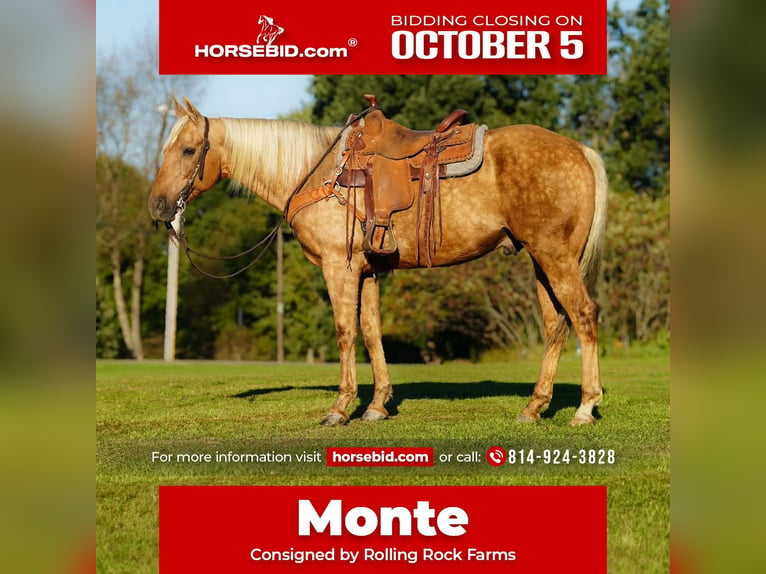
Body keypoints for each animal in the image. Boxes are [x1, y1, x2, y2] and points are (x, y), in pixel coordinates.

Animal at [148, 97, 608, 427]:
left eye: (189, 150)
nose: (158, 207)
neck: (317, 173)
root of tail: (582, 150)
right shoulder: (367, 272)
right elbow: (372, 334)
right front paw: (377, 406)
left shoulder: (340, 267)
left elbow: (345, 333)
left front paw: (340, 408)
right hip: (541, 261)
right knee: (555, 325)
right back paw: (534, 407)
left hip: (555, 256)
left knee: (584, 315)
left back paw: (585, 408)